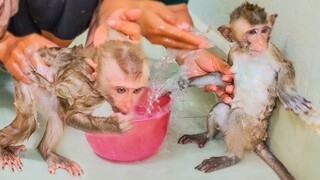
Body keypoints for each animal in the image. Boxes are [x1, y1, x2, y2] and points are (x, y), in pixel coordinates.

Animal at [0, 39, 149, 176]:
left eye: (136, 91)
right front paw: (117, 125)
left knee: (57, 118)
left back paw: (46, 152)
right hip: (22, 77)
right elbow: (69, 114)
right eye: (121, 90)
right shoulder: (78, 86)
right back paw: (4, 151)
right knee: (28, 123)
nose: (128, 104)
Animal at [178, 2, 310, 179]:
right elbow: (224, 78)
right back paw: (205, 136)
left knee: (238, 116)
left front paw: (287, 95)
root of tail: (260, 140)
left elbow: (285, 66)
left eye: (264, 30)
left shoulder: (271, 50)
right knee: (220, 108)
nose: (261, 42)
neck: (249, 53)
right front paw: (188, 82)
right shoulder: (233, 53)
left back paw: (231, 157)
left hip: (250, 132)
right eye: (253, 32)